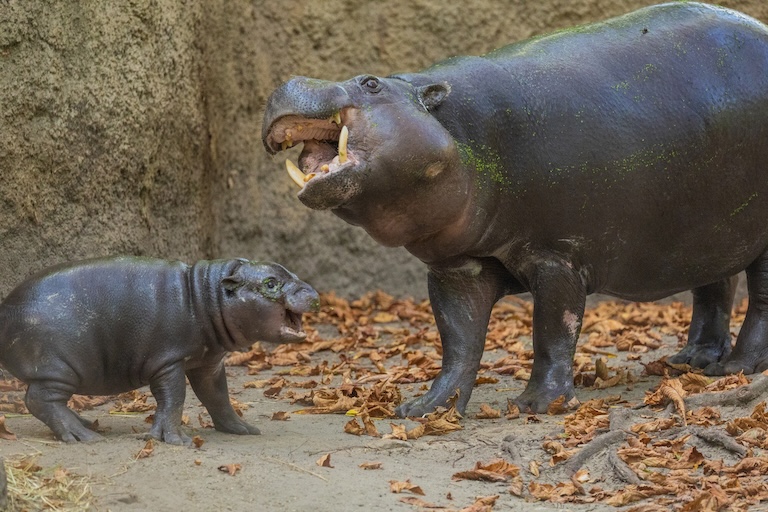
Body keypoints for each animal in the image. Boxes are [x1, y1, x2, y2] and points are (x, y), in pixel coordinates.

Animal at [0, 257, 319, 444]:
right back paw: (84, 436)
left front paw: (243, 429)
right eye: (270, 283)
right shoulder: (169, 361)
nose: (314, 294)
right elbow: (174, 399)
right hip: (56, 369)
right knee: (40, 401)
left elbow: (218, 396)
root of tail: (4, 309)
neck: (205, 294)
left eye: (292, 272)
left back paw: (89, 425)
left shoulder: (207, 363)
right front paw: (176, 440)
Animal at [262, 2, 768, 415]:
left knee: (759, 301)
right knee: (714, 287)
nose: (290, 80)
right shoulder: (457, 267)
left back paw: (736, 368)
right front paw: (424, 409)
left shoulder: (558, 256)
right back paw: (690, 361)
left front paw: (536, 406)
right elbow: (458, 340)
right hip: (710, 226)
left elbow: (552, 331)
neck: (460, 133)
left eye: (370, 82)